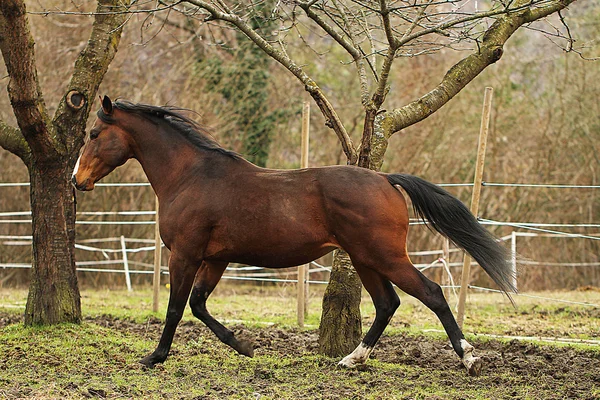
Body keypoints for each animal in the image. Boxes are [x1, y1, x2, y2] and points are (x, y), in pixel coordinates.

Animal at [72, 96, 512, 376]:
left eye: (93, 134)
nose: (77, 181)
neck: (191, 176)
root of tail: (385, 178)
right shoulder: (216, 258)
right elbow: (198, 305)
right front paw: (245, 346)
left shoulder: (186, 254)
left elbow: (176, 308)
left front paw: (155, 357)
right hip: (364, 259)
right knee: (387, 303)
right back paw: (352, 360)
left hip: (384, 256)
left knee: (432, 294)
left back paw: (470, 359)